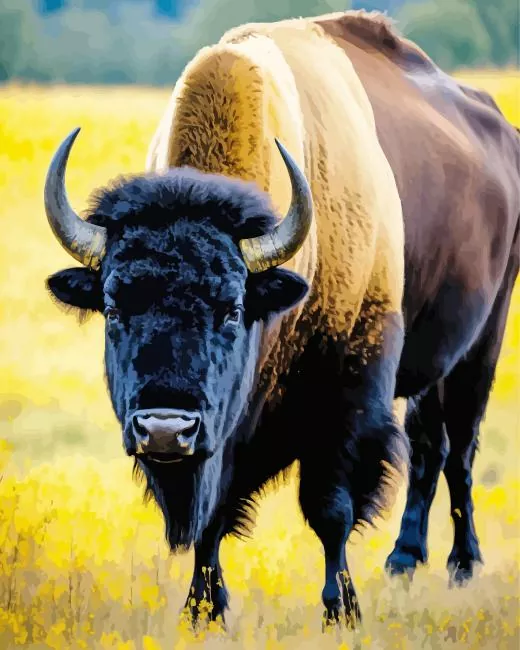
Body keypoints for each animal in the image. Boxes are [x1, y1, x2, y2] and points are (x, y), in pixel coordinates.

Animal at [43, 10, 519, 628]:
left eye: (232, 308)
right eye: (115, 306)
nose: (166, 429)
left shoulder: (348, 392)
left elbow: (331, 509)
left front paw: (341, 610)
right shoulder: (222, 438)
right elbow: (212, 515)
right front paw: (203, 611)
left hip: (483, 342)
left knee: (458, 450)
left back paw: (462, 565)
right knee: (428, 447)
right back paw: (404, 562)